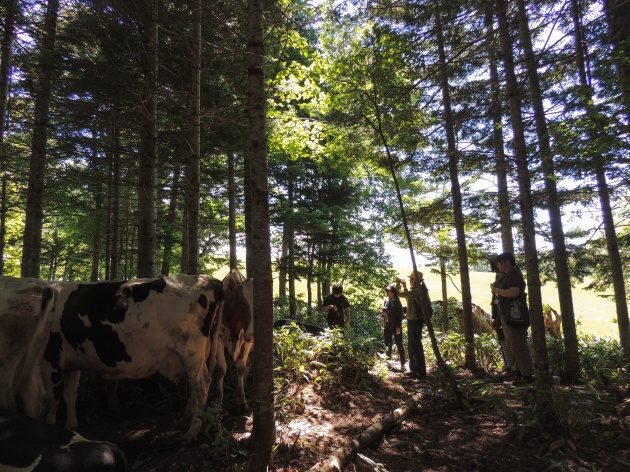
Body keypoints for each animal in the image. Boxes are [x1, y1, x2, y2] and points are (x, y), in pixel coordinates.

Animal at [32, 274, 225, 440]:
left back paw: (192, 431)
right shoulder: (71, 363)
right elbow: (69, 395)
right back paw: (185, 420)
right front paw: (71, 426)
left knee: (202, 384)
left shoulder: (50, 359)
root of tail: (208, 279)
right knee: (194, 385)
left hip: (190, 350)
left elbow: (53, 399)